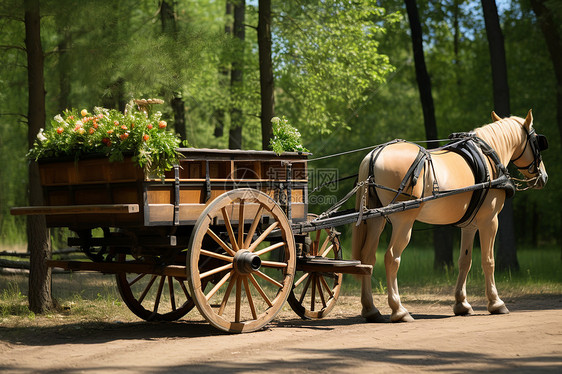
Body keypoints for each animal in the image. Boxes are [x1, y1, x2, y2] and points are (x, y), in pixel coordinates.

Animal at [350, 110, 548, 322]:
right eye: (538, 142)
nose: (543, 177)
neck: (488, 157)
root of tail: (374, 155)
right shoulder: (490, 220)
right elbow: (488, 261)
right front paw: (496, 303)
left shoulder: (470, 225)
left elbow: (465, 261)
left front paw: (462, 304)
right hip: (403, 221)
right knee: (391, 257)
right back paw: (399, 309)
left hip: (376, 219)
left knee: (368, 258)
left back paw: (370, 309)